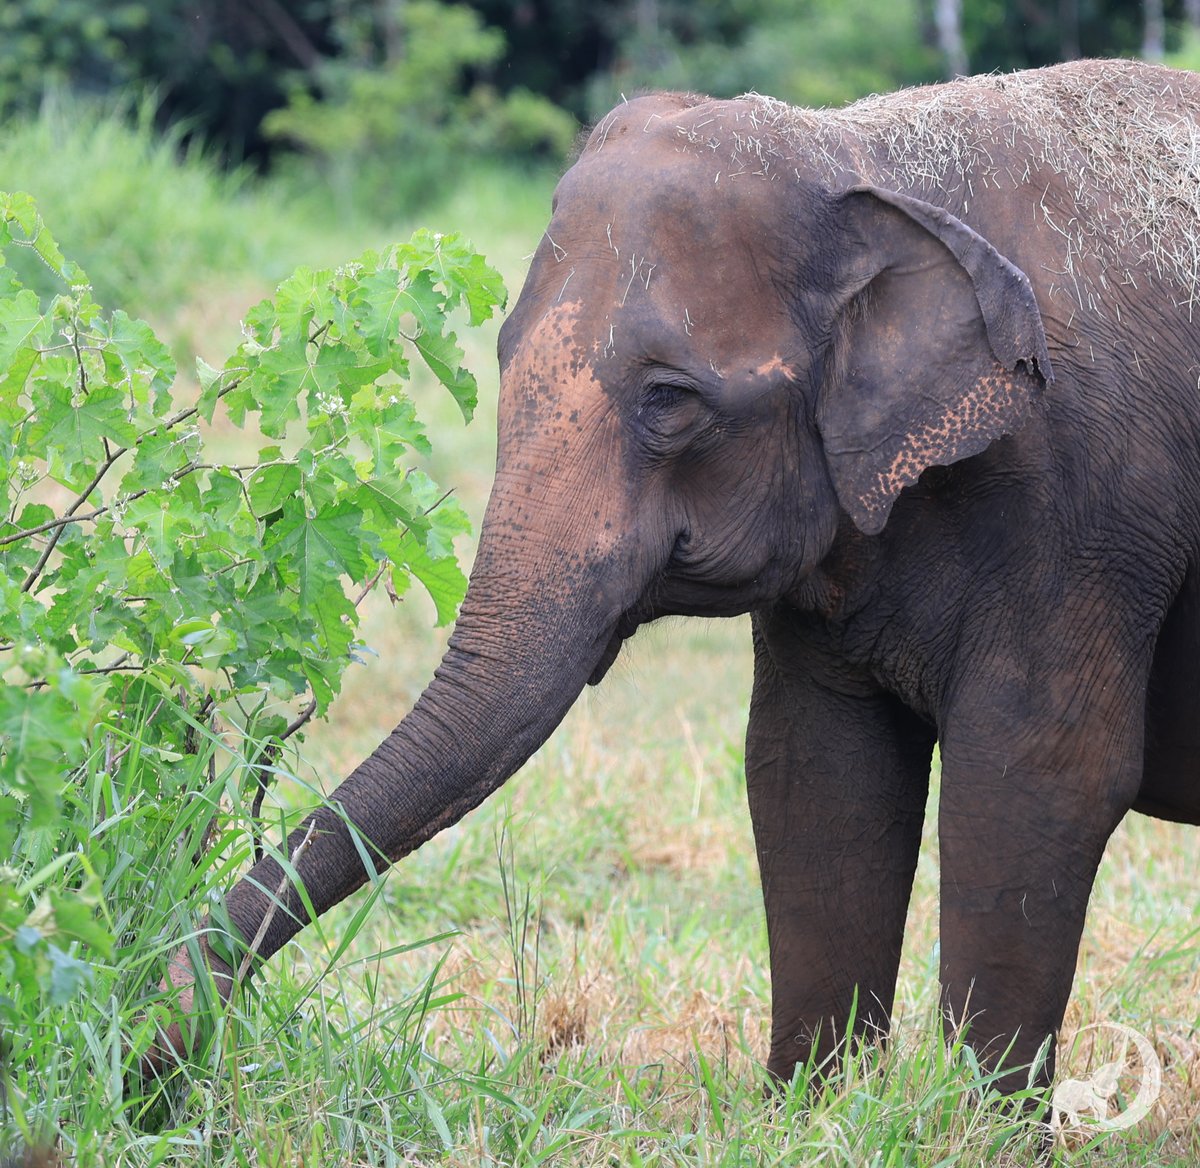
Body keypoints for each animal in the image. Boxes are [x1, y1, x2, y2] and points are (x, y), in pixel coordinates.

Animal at [158, 58, 1200, 1095]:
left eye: (669, 399)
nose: (155, 1046)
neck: (864, 155)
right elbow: (814, 771)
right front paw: (811, 1110)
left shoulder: (1089, 510)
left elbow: (1036, 776)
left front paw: (974, 1121)